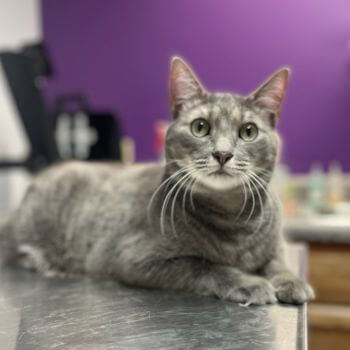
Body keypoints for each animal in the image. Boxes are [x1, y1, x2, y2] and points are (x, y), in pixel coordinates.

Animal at [0, 56, 314, 304]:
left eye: (249, 131)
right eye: (200, 127)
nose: (222, 153)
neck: (232, 220)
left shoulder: (275, 243)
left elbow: (278, 260)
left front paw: (291, 280)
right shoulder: (133, 257)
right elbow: (202, 265)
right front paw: (248, 282)